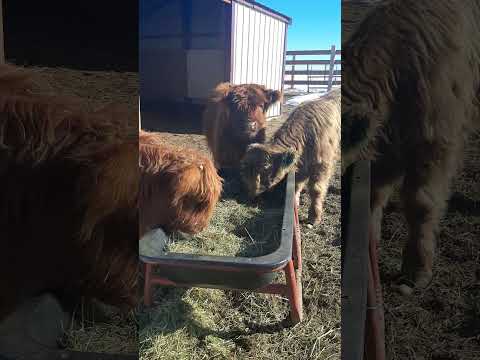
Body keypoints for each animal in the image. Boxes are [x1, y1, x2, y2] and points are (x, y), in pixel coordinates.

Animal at [242, 87, 340, 226]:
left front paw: (314, 217)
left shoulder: (322, 165)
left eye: (265, 168)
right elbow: (296, 185)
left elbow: (316, 189)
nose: (252, 197)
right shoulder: (301, 167)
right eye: (245, 169)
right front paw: (295, 205)